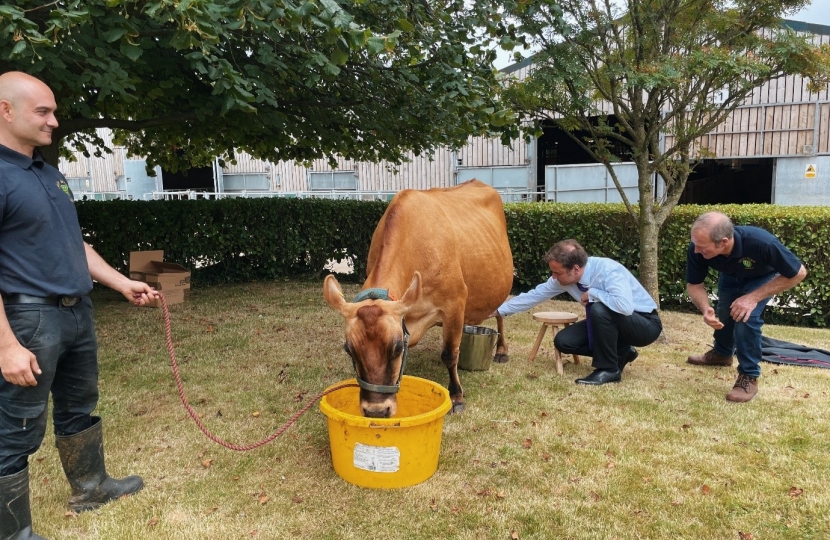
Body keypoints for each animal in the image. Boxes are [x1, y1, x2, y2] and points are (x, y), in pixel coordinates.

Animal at [324, 181, 512, 418]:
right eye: (349, 349)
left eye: (397, 348)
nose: (376, 411)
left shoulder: (455, 302)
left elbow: (449, 353)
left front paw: (457, 397)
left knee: (501, 315)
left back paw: (502, 351)